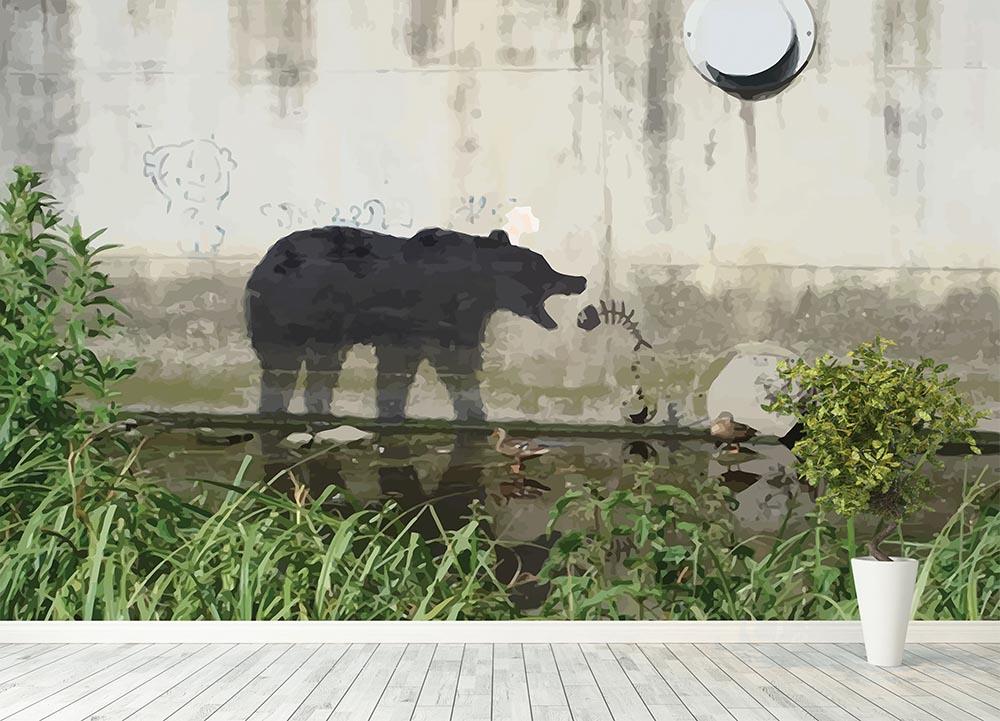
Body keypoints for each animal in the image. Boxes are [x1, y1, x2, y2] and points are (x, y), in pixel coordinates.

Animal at [244, 225, 587, 421]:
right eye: (546, 268)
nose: (580, 279)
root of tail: (260, 266)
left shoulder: (452, 321)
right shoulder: (418, 319)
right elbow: (427, 367)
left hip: (322, 332)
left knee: (321, 371)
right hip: (287, 316)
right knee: (281, 369)